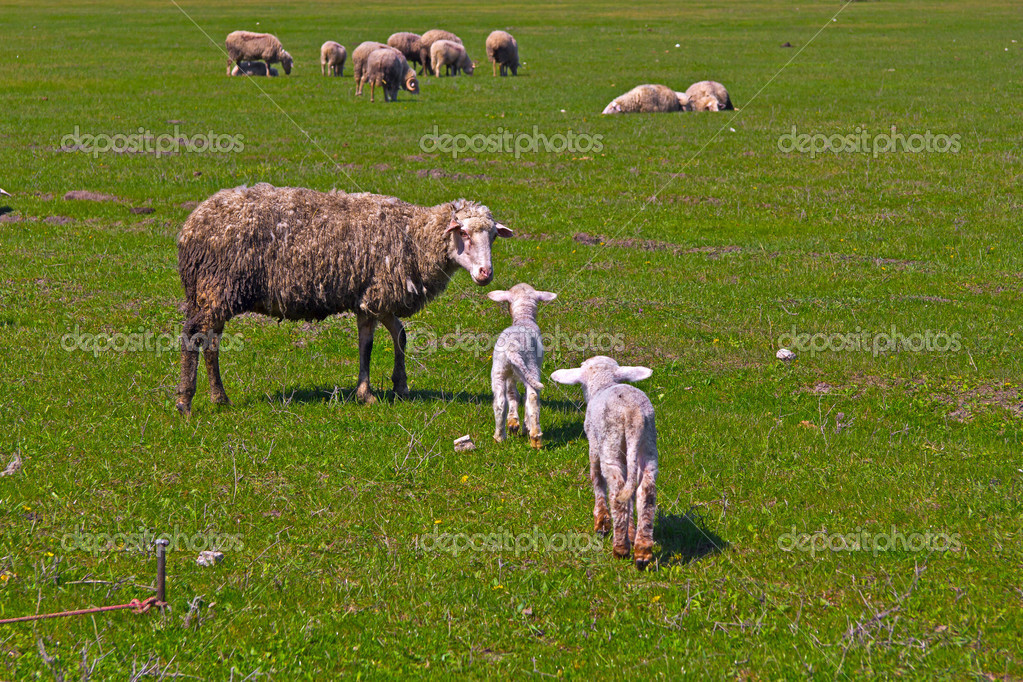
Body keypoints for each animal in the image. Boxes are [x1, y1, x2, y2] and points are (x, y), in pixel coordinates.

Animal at [174, 183, 515, 417]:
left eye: (493, 237)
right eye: (464, 234)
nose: (486, 274)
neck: (415, 236)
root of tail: (191, 225)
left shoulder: (371, 296)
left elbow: (395, 336)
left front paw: (397, 386)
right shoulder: (377, 293)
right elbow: (370, 344)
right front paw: (368, 393)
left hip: (210, 292)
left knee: (211, 341)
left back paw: (220, 398)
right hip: (218, 286)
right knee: (192, 334)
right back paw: (185, 400)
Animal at [484, 282, 556, 447]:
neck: (523, 317)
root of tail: (512, 349)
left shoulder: (510, 375)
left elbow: (512, 395)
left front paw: (513, 423)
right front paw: (524, 427)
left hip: (499, 370)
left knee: (500, 402)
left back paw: (499, 437)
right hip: (530, 366)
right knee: (532, 397)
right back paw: (535, 438)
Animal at [556, 357, 658, 572]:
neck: (603, 384)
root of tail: (633, 415)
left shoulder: (594, 444)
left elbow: (596, 479)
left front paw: (601, 523)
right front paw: (630, 531)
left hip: (610, 443)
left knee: (617, 493)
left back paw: (620, 549)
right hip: (648, 446)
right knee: (646, 492)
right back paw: (642, 552)